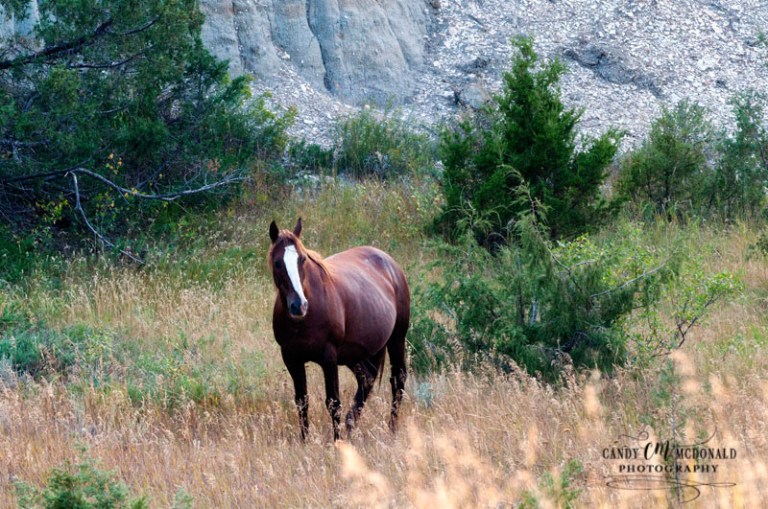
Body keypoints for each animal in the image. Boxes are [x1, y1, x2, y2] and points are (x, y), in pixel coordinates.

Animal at [268, 218, 410, 441]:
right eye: (277, 263)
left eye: (302, 259)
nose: (299, 305)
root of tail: (391, 264)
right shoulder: (291, 358)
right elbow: (302, 402)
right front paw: (305, 441)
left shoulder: (329, 357)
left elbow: (333, 403)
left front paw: (337, 442)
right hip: (356, 354)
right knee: (367, 379)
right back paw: (351, 424)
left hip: (397, 339)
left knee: (398, 381)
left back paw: (391, 429)